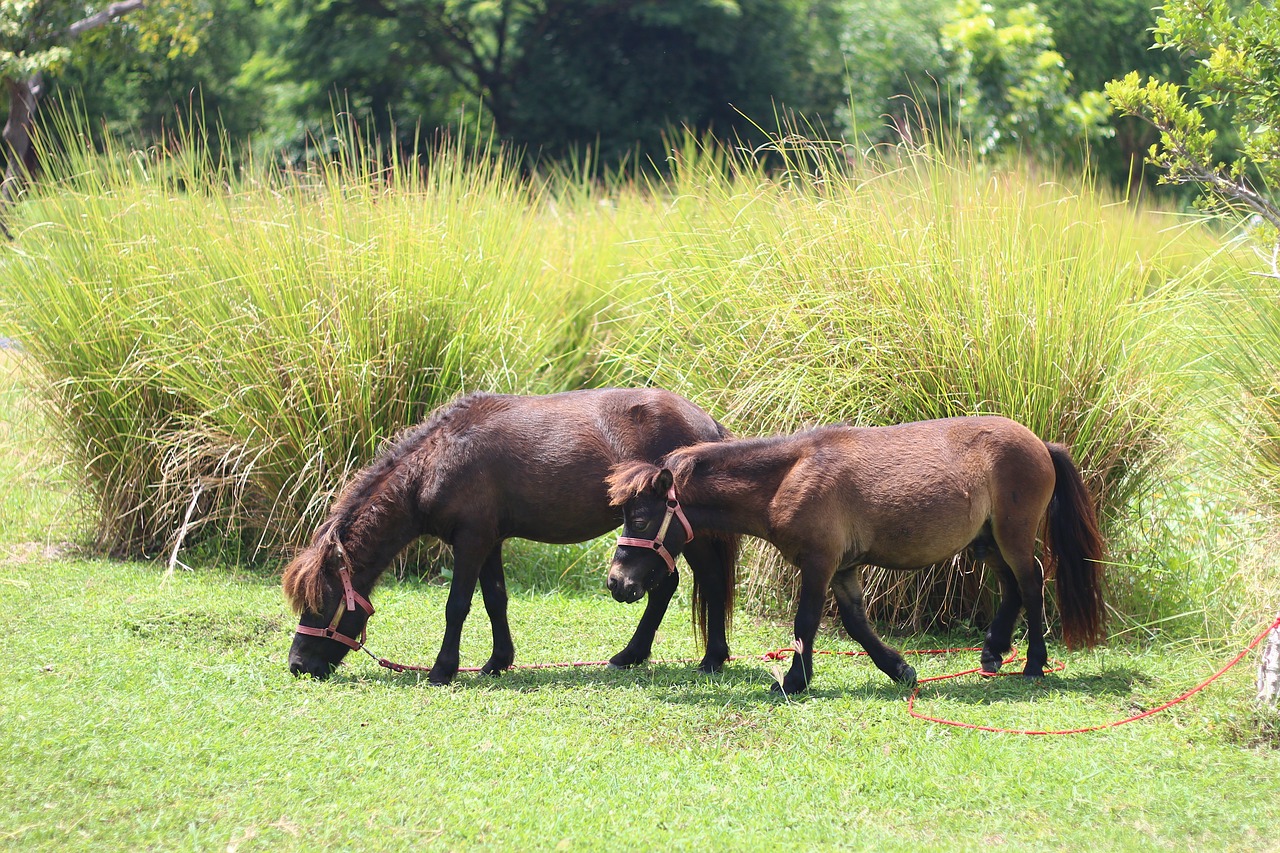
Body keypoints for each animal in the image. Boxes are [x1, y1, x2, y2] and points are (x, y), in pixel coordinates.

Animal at [282, 389, 742, 681]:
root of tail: (707, 422)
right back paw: (631, 656)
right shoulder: (489, 542)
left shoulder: (470, 542)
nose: (297, 665)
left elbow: (457, 606)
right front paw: (497, 661)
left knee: (709, 582)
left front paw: (442, 670)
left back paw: (712, 658)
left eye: (321, 605)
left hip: (689, 533)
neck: (439, 459)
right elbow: (495, 600)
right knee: (665, 586)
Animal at [604, 414, 1105, 696]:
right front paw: (900, 669)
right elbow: (856, 625)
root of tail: (1042, 445)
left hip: (1012, 536)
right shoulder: (843, 569)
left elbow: (806, 622)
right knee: (1012, 587)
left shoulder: (819, 563)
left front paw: (794, 681)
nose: (616, 581)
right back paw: (994, 650)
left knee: (1032, 584)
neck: (789, 475)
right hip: (987, 542)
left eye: (641, 520)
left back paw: (1034, 664)